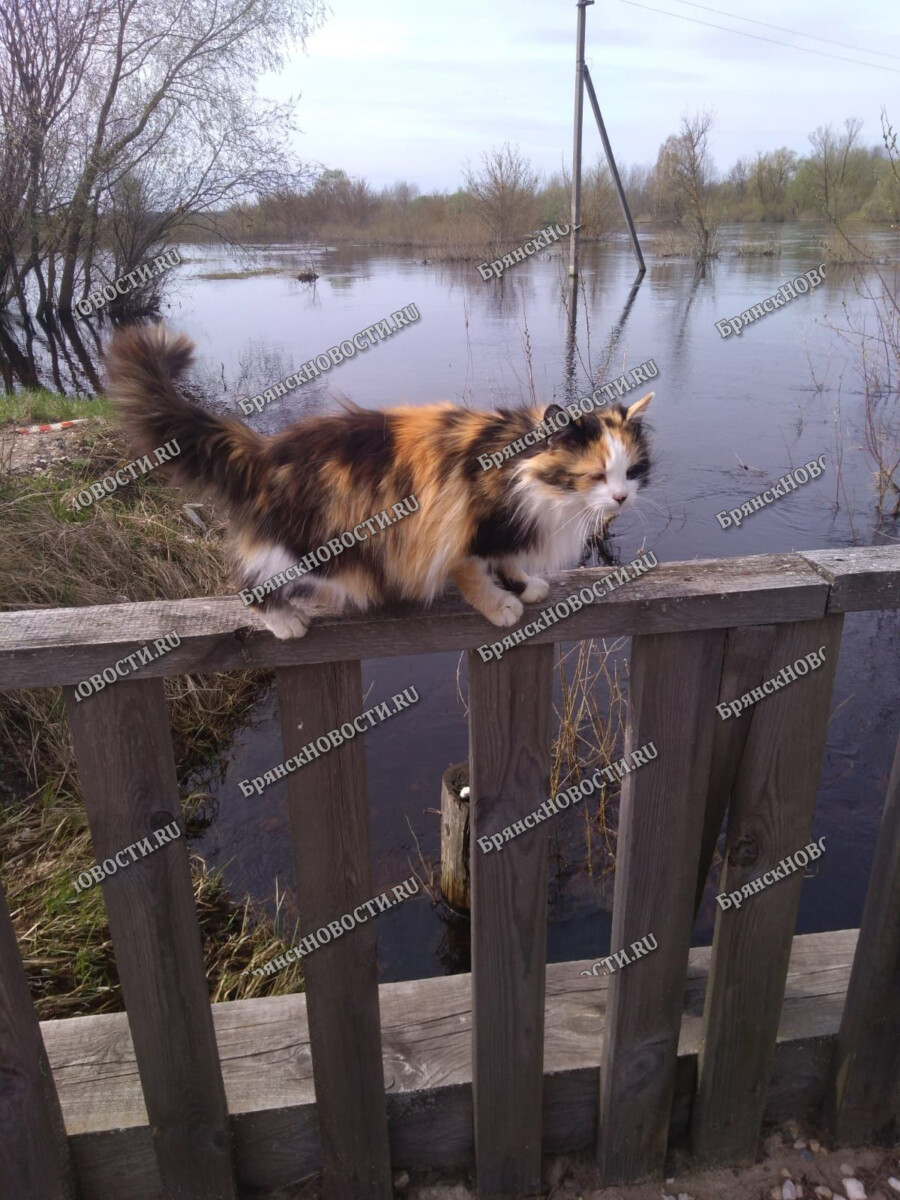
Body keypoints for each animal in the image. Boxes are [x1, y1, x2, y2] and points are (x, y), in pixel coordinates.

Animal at [107, 319, 657, 638]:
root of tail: (264, 450)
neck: (519, 467)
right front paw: (500, 604)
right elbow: (472, 570)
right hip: (312, 547)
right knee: (249, 579)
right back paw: (284, 620)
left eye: (631, 471)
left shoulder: (506, 528)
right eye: (595, 475)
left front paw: (524, 585)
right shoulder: (460, 524)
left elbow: (507, 558)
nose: (621, 498)